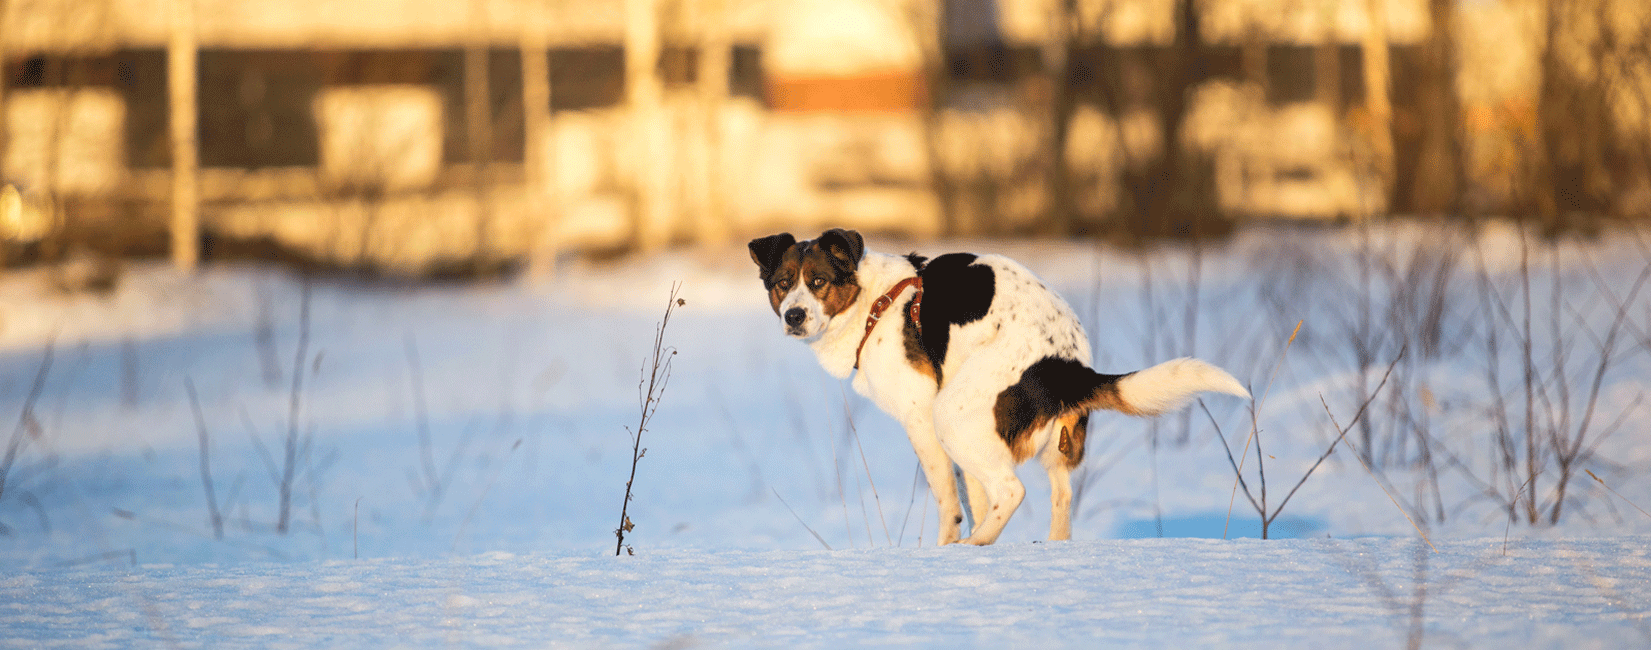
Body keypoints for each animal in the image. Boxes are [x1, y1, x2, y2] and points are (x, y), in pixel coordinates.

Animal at [752, 229, 1248, 544]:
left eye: (818, 282)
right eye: (782, 284)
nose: (793, 316)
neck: (875, 303)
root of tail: (1067, 365)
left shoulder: (920, 418)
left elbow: (950, 503)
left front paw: (947, 548)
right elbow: (974, 495)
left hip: (951, 414)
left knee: (1012, 492)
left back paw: (974, 547)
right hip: (1052, 444)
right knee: (1060, 497)